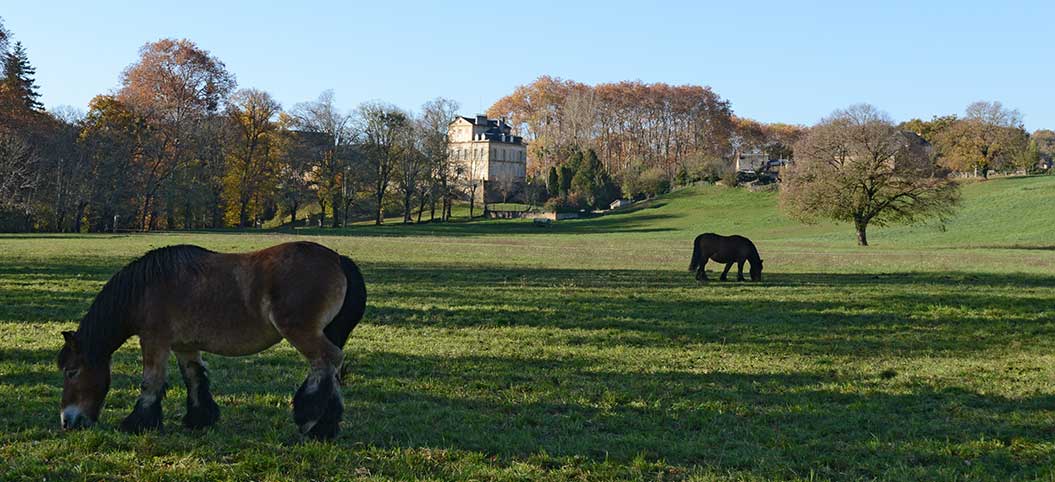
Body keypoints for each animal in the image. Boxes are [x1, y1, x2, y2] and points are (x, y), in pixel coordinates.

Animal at [56, 242, 367, 438]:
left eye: (72, 372)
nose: (67, 422)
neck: (145, 289)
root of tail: (339, 260)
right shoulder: (185, 346)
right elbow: (195, 379)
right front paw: (199, 419)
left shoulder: (155, 341)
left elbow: (151, 382)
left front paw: (138, 423)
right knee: (332, 369)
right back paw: (326, 427)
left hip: (303, 333)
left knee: (326, 361)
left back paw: (308, 419)